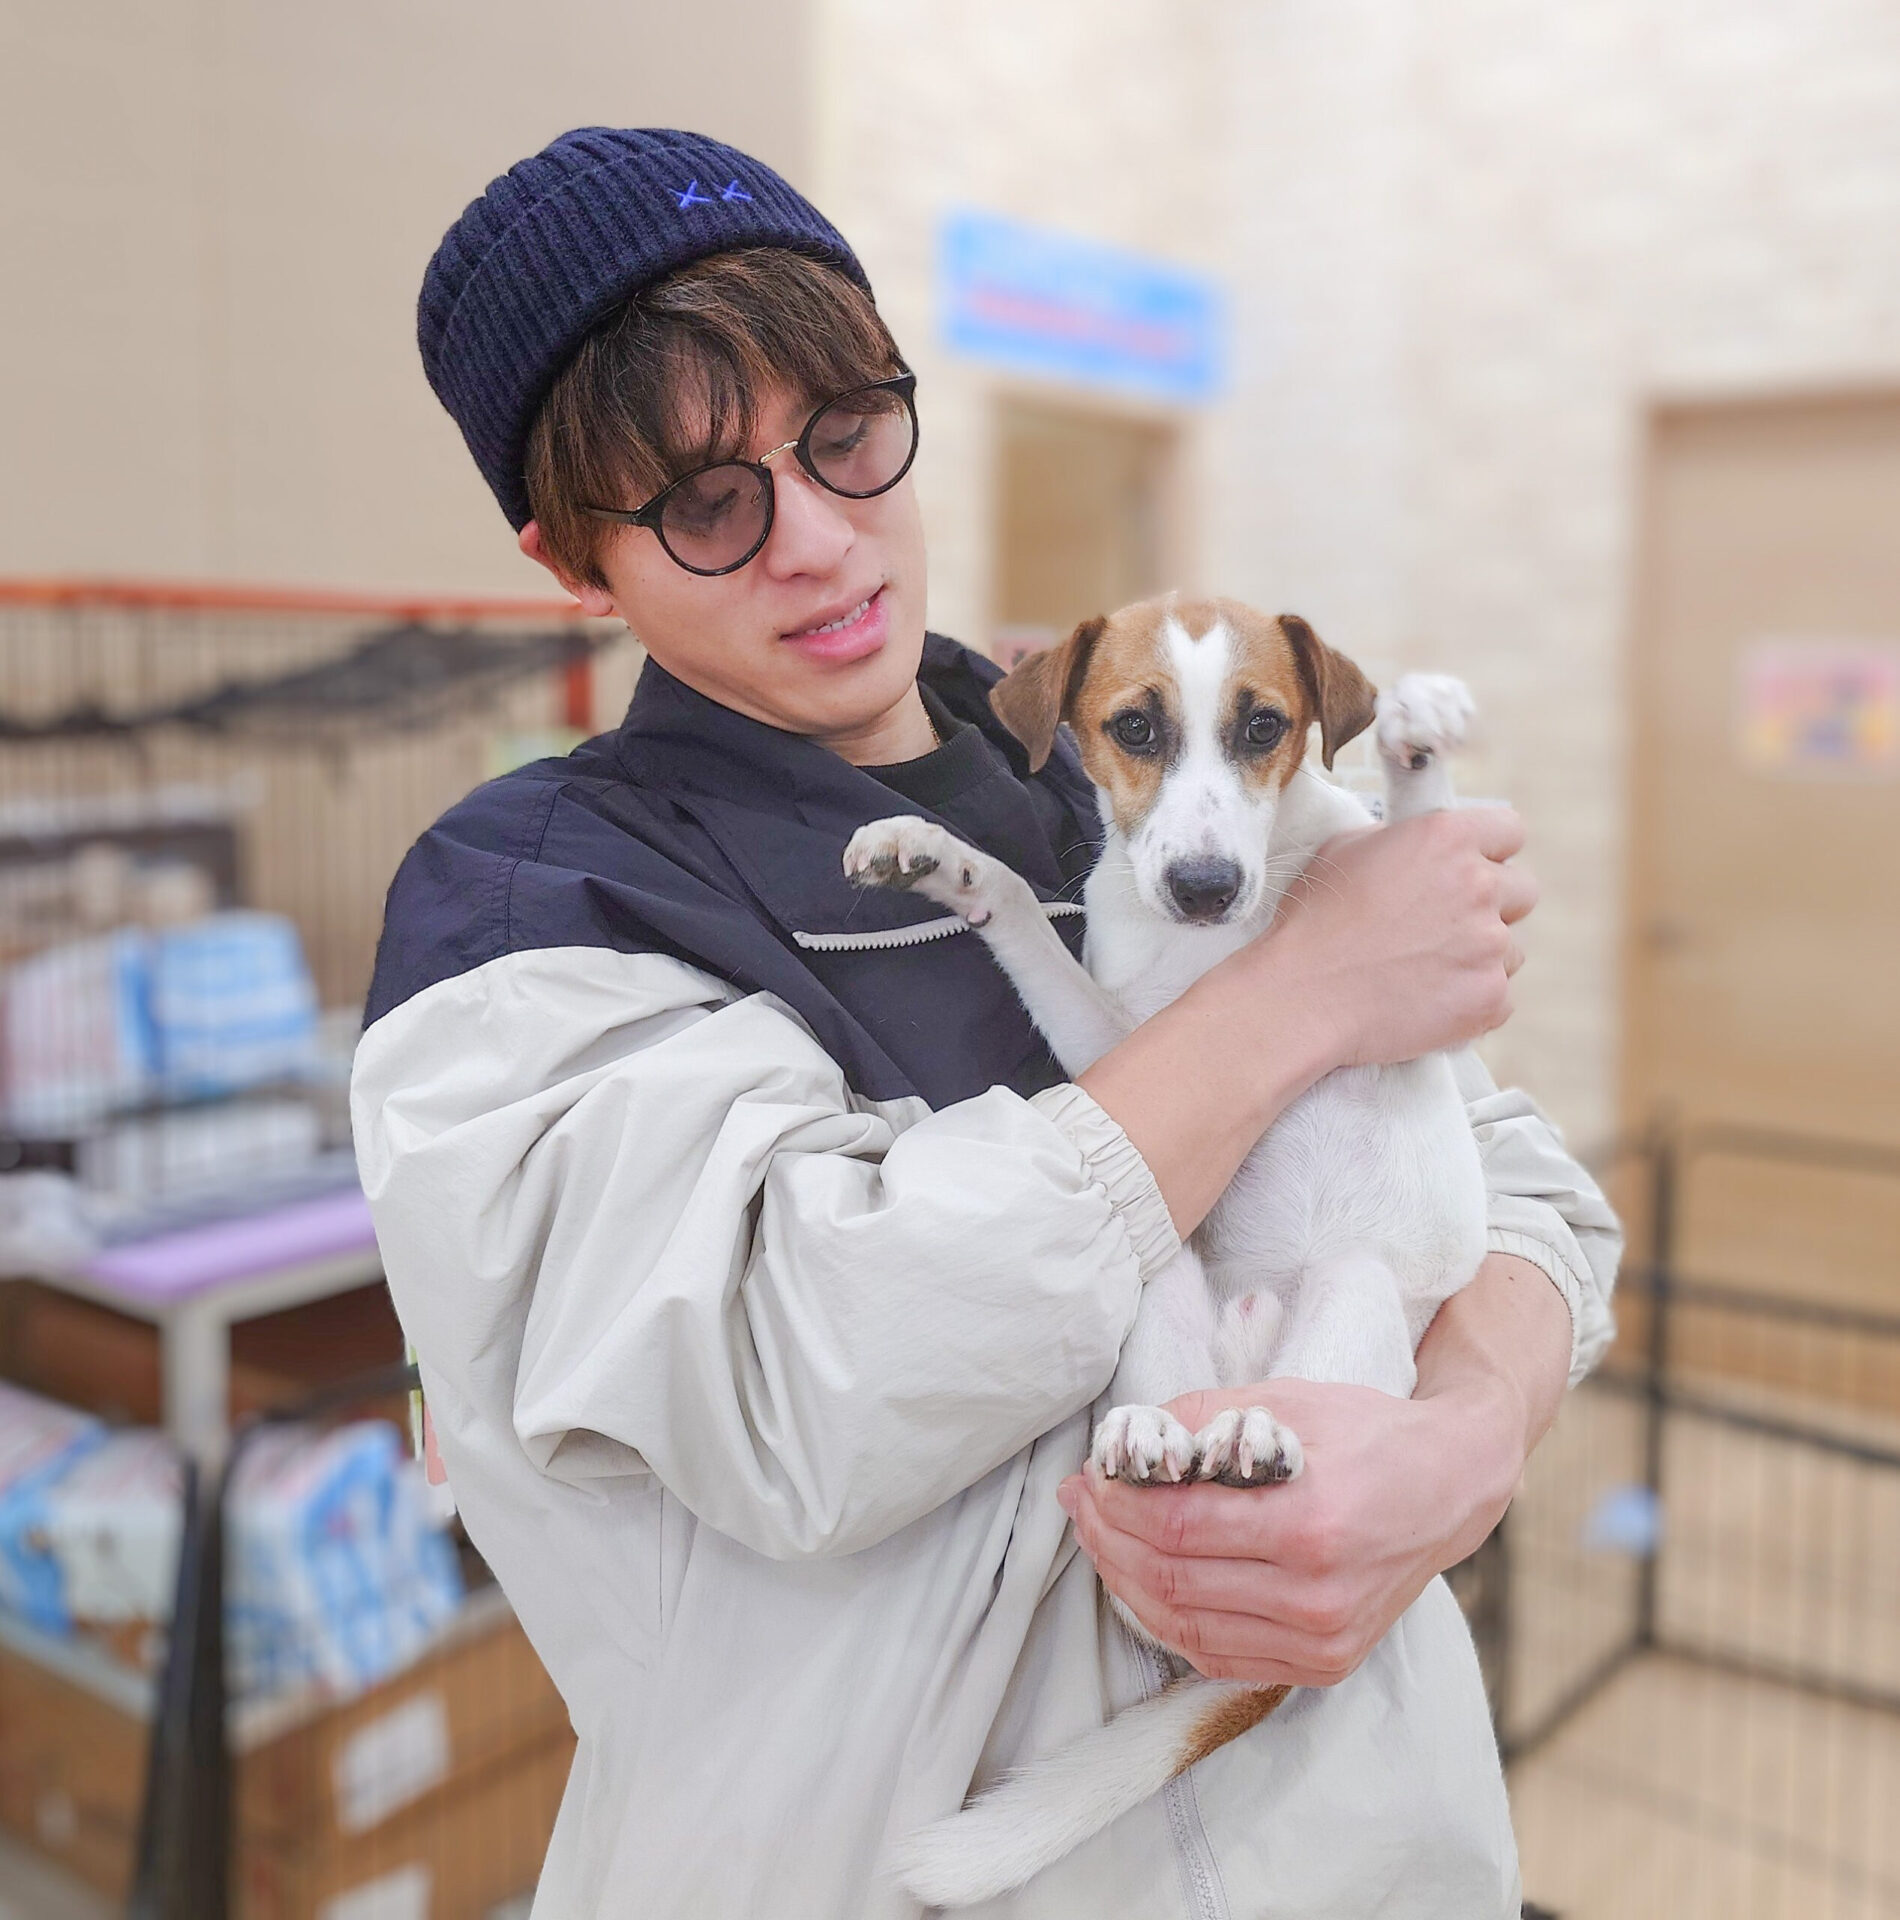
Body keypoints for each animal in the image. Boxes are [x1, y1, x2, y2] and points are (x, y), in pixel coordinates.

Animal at [844, 596, 1491, 1907]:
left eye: (1265, 727)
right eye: (1133, 727)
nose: (1202, 888)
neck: (1217, 950)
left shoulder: (1418, 1031)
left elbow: (1412, 833)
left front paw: (1418, 740)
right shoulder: (1115, 1049)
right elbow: (1023, 925)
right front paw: (935, 855)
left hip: (1353, 1293)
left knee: (1296, 1394)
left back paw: (1255, 1439)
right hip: (1156, 1282)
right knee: (1161, 1457)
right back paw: (1153, 1442)